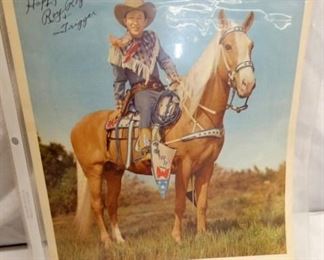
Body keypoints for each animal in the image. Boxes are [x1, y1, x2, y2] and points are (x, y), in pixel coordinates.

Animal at [71, 10, 256, 248]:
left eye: (251, 45)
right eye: (228, 46)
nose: (247, 84)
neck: (195, 113)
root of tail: (77, 126)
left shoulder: (207, 167)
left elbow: (202, 203)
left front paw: (202, 236)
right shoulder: (183, 166)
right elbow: (179, 204)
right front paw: (177, 237)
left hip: (114, 172)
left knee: (112, 204)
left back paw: (120, 240)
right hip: (94, 171)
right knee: (97, 205)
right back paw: (107, 242)